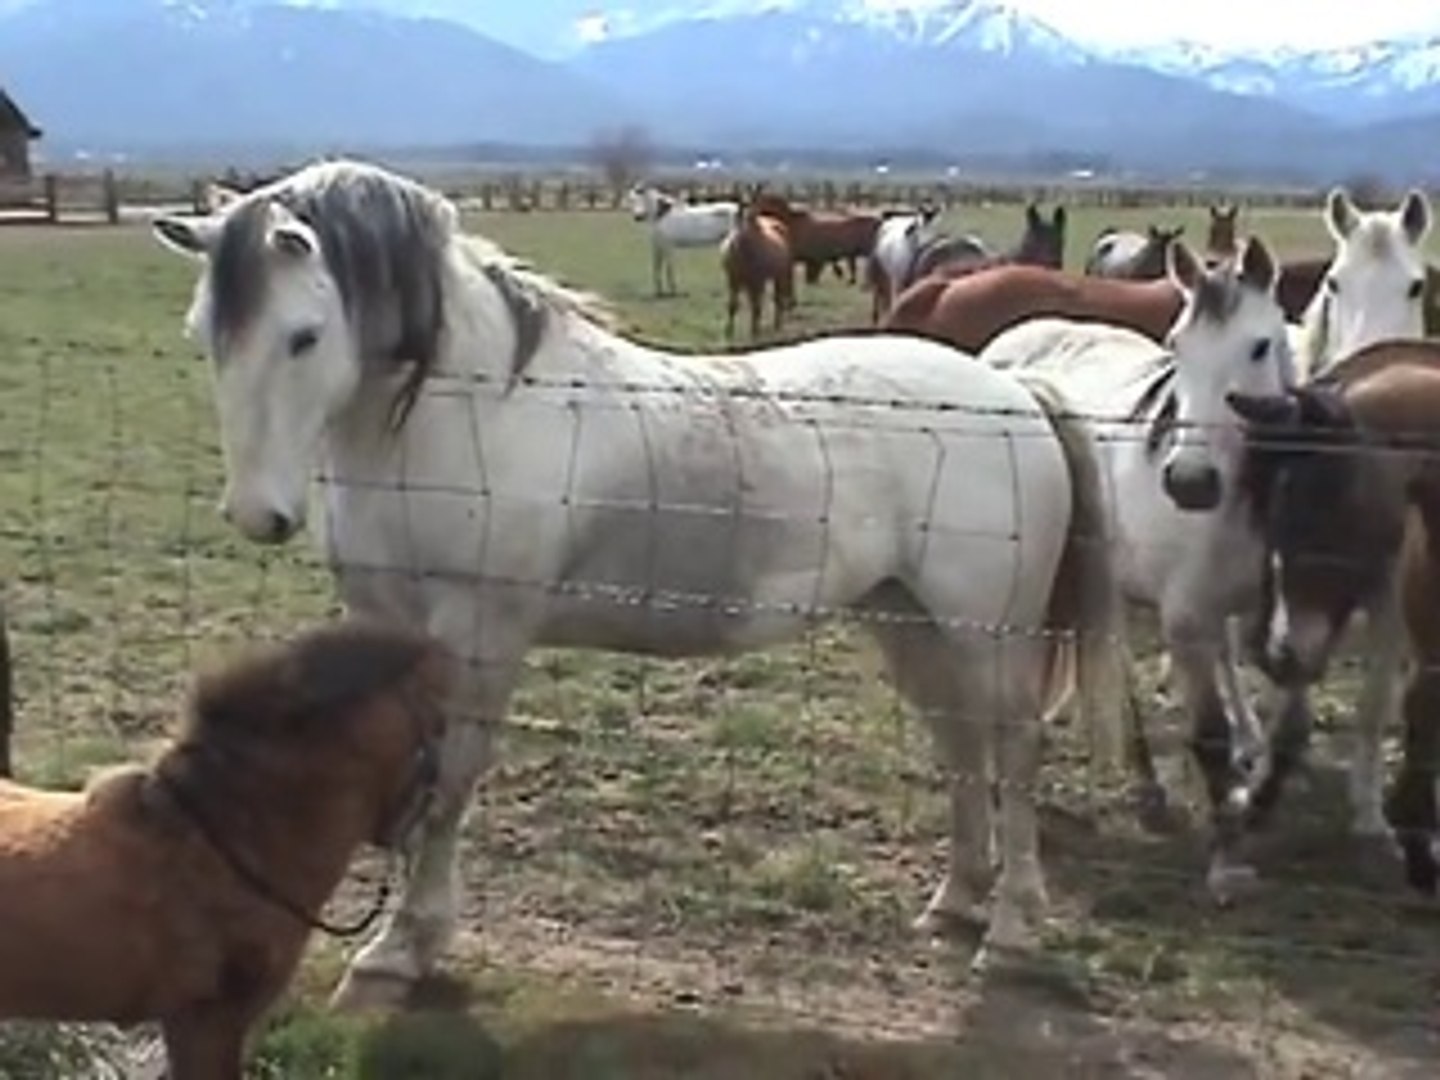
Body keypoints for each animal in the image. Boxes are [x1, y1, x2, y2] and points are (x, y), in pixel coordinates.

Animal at [721, 197, 794, 341]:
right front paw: (728, 332)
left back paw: (777, 325)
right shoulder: (733, 280)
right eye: (737, 215)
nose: (737, 240)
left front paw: (755, 332)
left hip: (779, 275)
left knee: (777, 299)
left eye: (751, 217)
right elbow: (732, 305)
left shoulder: (757, 281)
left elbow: (756, 306)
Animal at [977, 237, 1299, 900]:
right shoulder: (1187, 620)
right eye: (1177, 345)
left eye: (1259, 346)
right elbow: (1209, 734)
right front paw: (1226, 860)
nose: (1190, 482)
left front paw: (1254, 791)